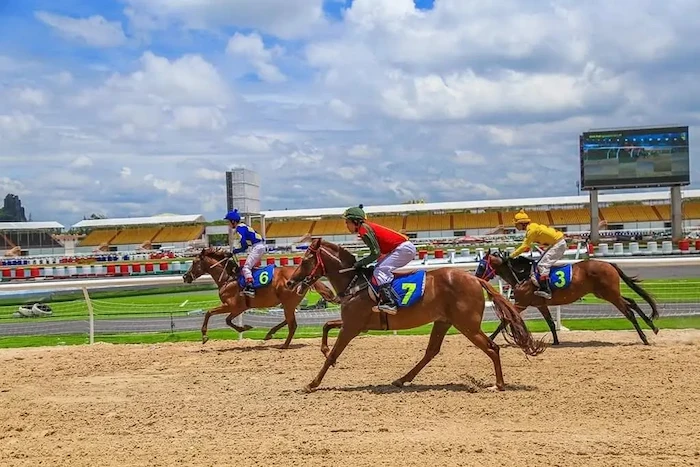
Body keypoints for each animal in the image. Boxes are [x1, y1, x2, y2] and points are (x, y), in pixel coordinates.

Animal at [182, 249, 338, 348]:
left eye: (194, 262)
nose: (185, 276)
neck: (228, 278)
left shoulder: (233, 306)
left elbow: (209, 313)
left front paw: (204, 336)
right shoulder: (239, 308)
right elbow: (227, 320)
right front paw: (244, 327)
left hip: (288, 302)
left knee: (292, 324)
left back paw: (284, 345)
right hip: (288, 303)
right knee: (288, 320)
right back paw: (270, 334)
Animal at [286, 239, 548, 394]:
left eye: (306, 260)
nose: (289, 282)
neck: (355, 282)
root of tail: (475, 279)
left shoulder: (352, 326)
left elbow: (333, 352)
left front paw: (312, 383)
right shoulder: (355, 323)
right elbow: (326, 326)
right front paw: (324, 352)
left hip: (468, 326)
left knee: (493, 348)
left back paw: (499, 385)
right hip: (444, 322)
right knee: (431, 351)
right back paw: (401, 379)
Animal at [474, 250, 660, 346]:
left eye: (481, 265)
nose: (475, 277)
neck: (523, 276)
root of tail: (609, 264)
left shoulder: (522, 303)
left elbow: (505, 320)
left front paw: (490, 338)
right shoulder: (539, 304)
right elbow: (550, 322)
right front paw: (556, 341)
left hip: (610, 294)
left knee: (628, 312)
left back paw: (644, 338)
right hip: (607, 293)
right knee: (633, 302)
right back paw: (653, 326)